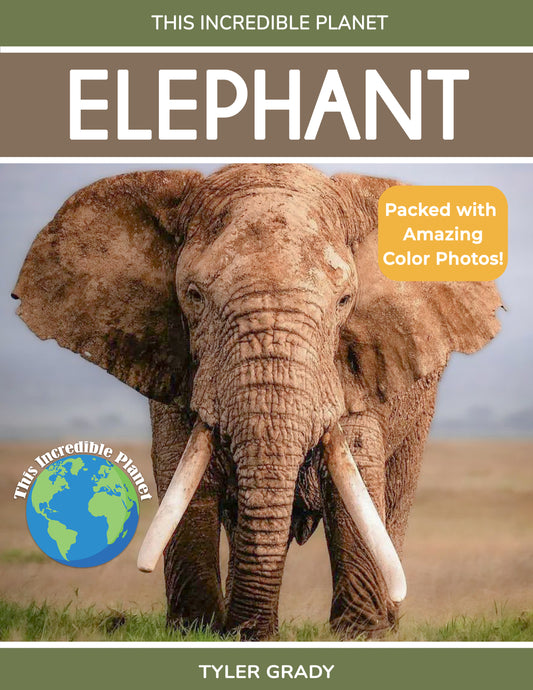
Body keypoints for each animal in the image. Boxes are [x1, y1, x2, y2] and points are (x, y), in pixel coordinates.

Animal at [12, 164, 501, 640]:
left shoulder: (359, 365)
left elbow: (358, 473)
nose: (251, 632)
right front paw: (196, 631)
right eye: (193, 296)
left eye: (345, 301)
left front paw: (360, 636)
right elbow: (182, 474)